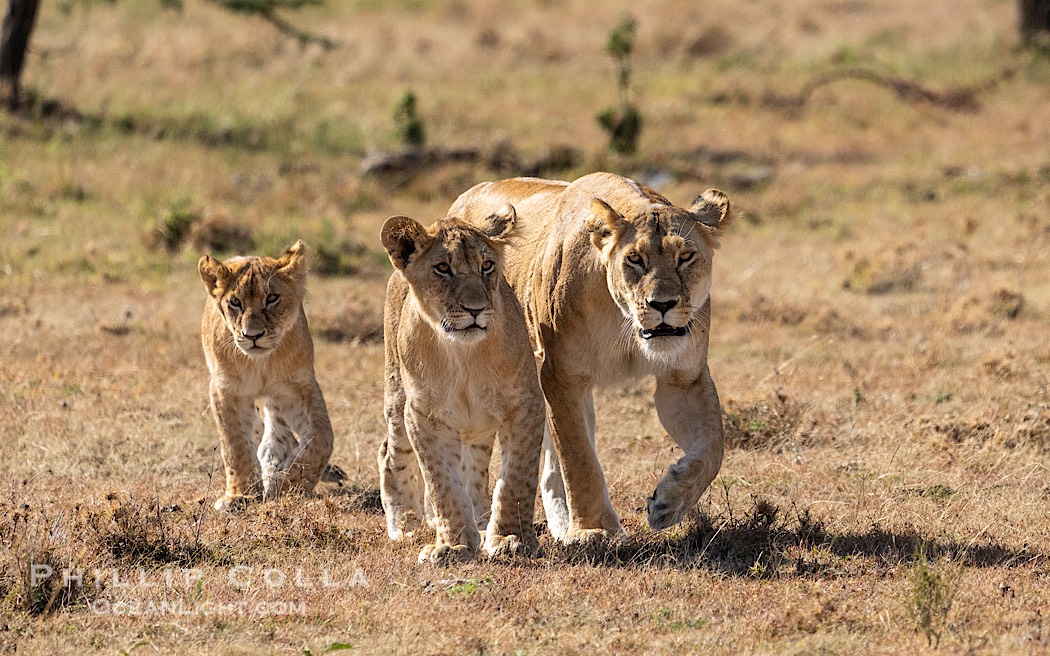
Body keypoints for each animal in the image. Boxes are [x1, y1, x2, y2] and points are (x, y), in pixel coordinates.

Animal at [198, 240, 335, 511]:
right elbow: (235, 444)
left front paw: (286, 486)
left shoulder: (297, 387)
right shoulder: (226, 389)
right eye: (235, 302)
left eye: (272, 298)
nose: (252, 335)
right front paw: (241, 495)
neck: (260, 363)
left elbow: (321, 439)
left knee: (277, 433)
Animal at [379, 206, 545, 564]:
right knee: (390, 453)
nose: (476, 309)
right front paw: (453, 545)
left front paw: (511, 538)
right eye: (443, 268)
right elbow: (442, 484)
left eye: (487, 266)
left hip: (477, 429)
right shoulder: (424, 416)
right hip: (396, 400)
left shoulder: (525, 405)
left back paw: (482, 522)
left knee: (476, 472)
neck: (463, 355)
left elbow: (516, 478)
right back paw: (406, 525)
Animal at [448, 172, 731, 546]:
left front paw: (668, 502)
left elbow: (713, 447)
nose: (662, 304)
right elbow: (578, 456)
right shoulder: (561, 375)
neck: (624, 321)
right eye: (635, 259)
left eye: (686, 256)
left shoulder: (683, 378)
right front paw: (593, 529)